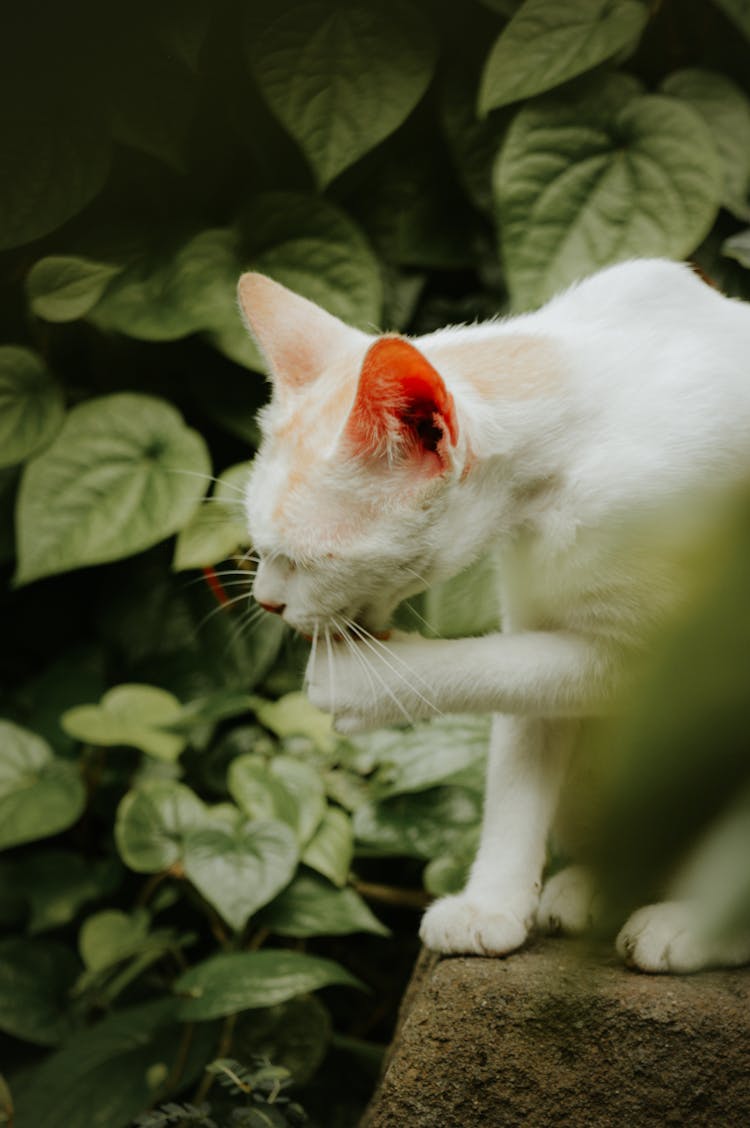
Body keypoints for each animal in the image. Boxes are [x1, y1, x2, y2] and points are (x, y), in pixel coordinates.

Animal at [236, 259, 748, 974]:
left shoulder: (692, 654)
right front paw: (493, 906)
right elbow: (521, 746)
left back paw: (699, 926)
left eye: (309, 560)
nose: (267, 600)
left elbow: (498, 667)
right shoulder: (532, 608)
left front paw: (366, 681)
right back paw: (594, 888)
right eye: (261, 548)